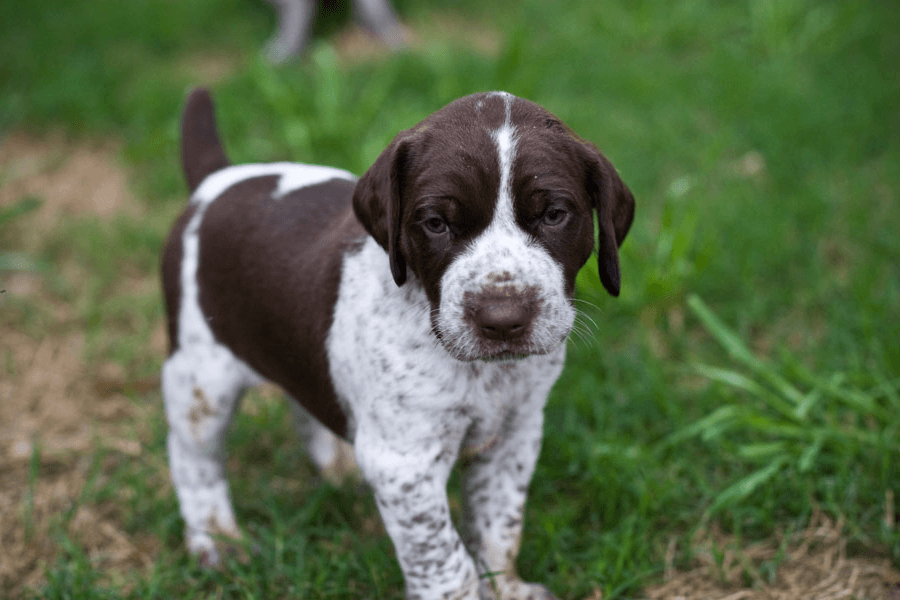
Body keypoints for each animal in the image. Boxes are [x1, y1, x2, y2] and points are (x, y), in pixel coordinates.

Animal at [163, 89, 640, 600]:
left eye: (554, 215)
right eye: (435, 223)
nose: (502, 320)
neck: (483, 373)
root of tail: (215, 180)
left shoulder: (515, 434)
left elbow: (499, 525)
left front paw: (505, 587)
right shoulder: (405, 462)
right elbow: (444, 559)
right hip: (200, 379)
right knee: (193, 460)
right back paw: (218, 542)